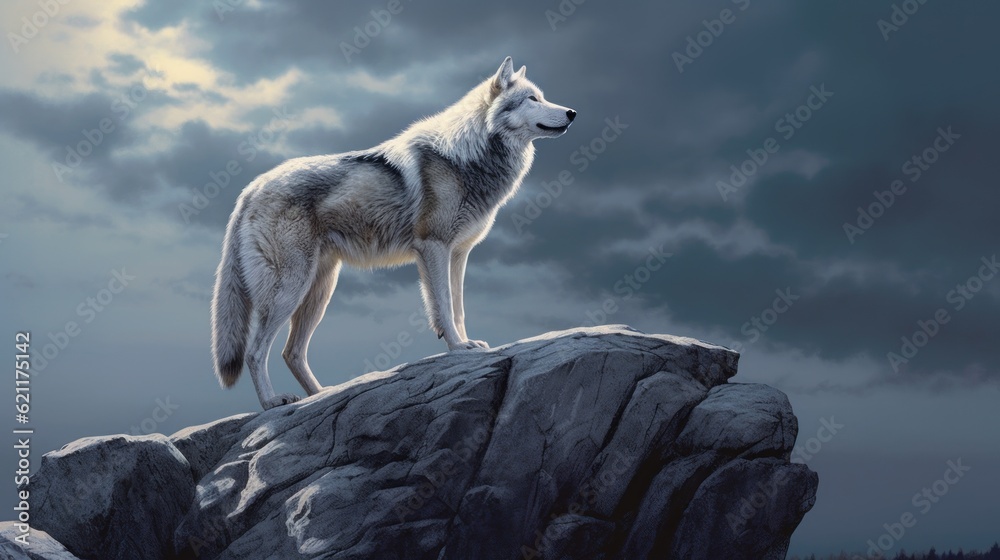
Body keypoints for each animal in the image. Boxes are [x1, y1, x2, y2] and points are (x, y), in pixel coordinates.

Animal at [211, 57, 576, 409]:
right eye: (532, 99)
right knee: (255, 352)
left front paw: (468, 343)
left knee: (292, 352)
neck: (468, 156)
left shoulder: (459, 253)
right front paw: (458, 348)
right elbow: (444, 307)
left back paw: (321, 394)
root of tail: (250, 188)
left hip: (319, 291)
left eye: (542, 97)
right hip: (290, 289)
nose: (572, 112)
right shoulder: (433, 247)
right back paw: (272, 402)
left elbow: (458, 307)